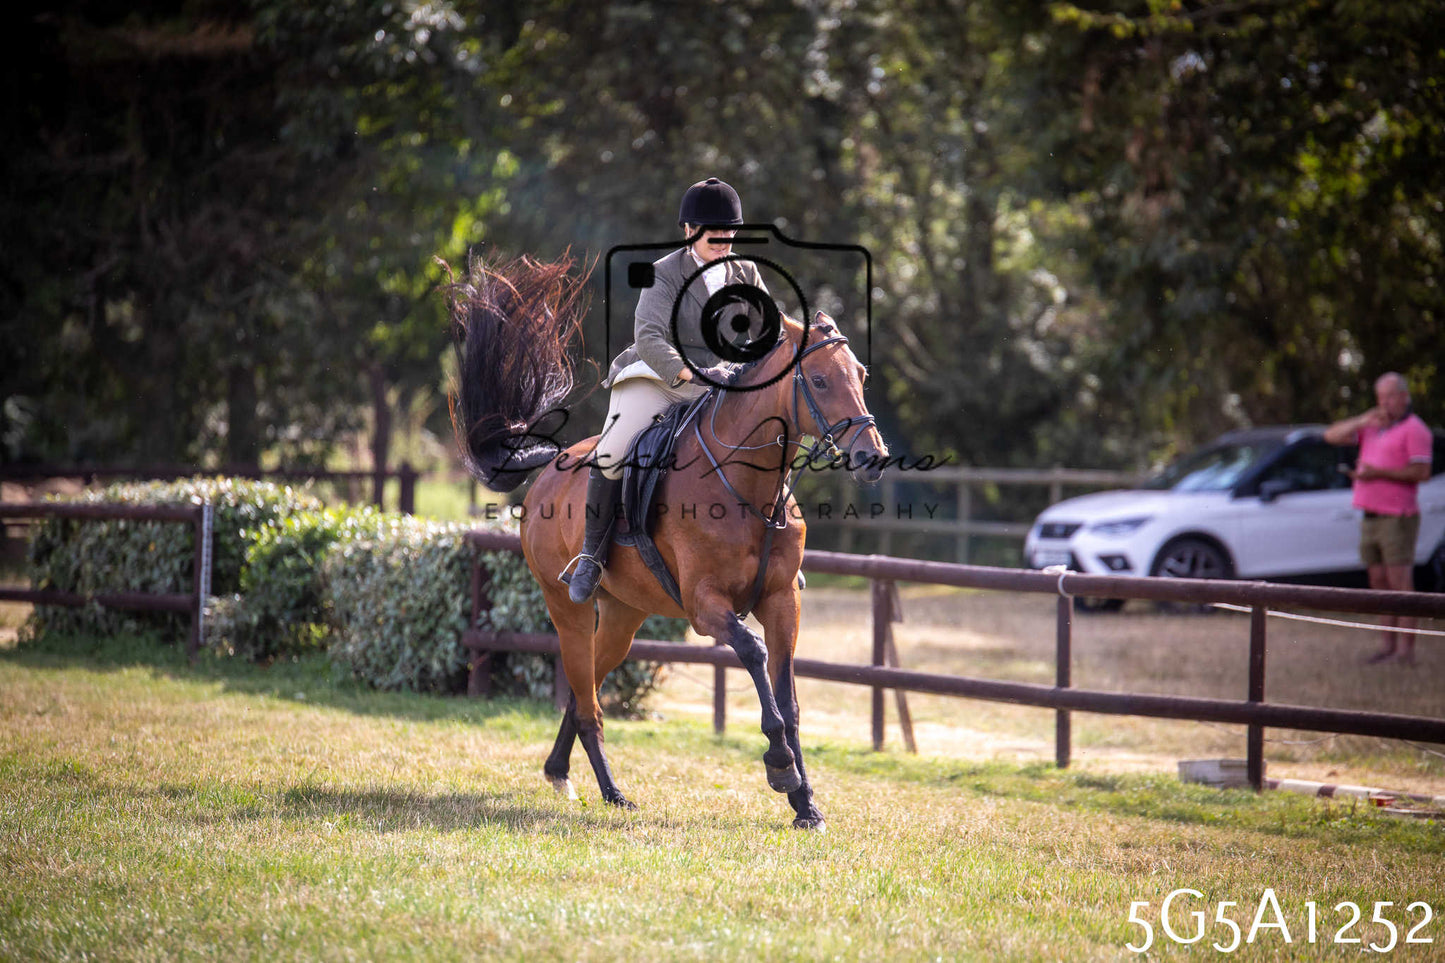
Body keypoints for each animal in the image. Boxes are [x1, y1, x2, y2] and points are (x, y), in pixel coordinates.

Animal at [446, 253, 888, 829]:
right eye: (818, 379)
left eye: (859, 375)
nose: (874, 458)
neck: (747, 487)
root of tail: (552, 465)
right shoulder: (706, 606)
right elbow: (753, 655)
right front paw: (780, 767)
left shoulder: (781, 600)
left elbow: (789, 699)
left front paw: (806, 805)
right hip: (565, 606)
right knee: (587, 700)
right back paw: (613, 792)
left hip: (623, 614)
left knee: (587, 688)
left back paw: (559, 772)